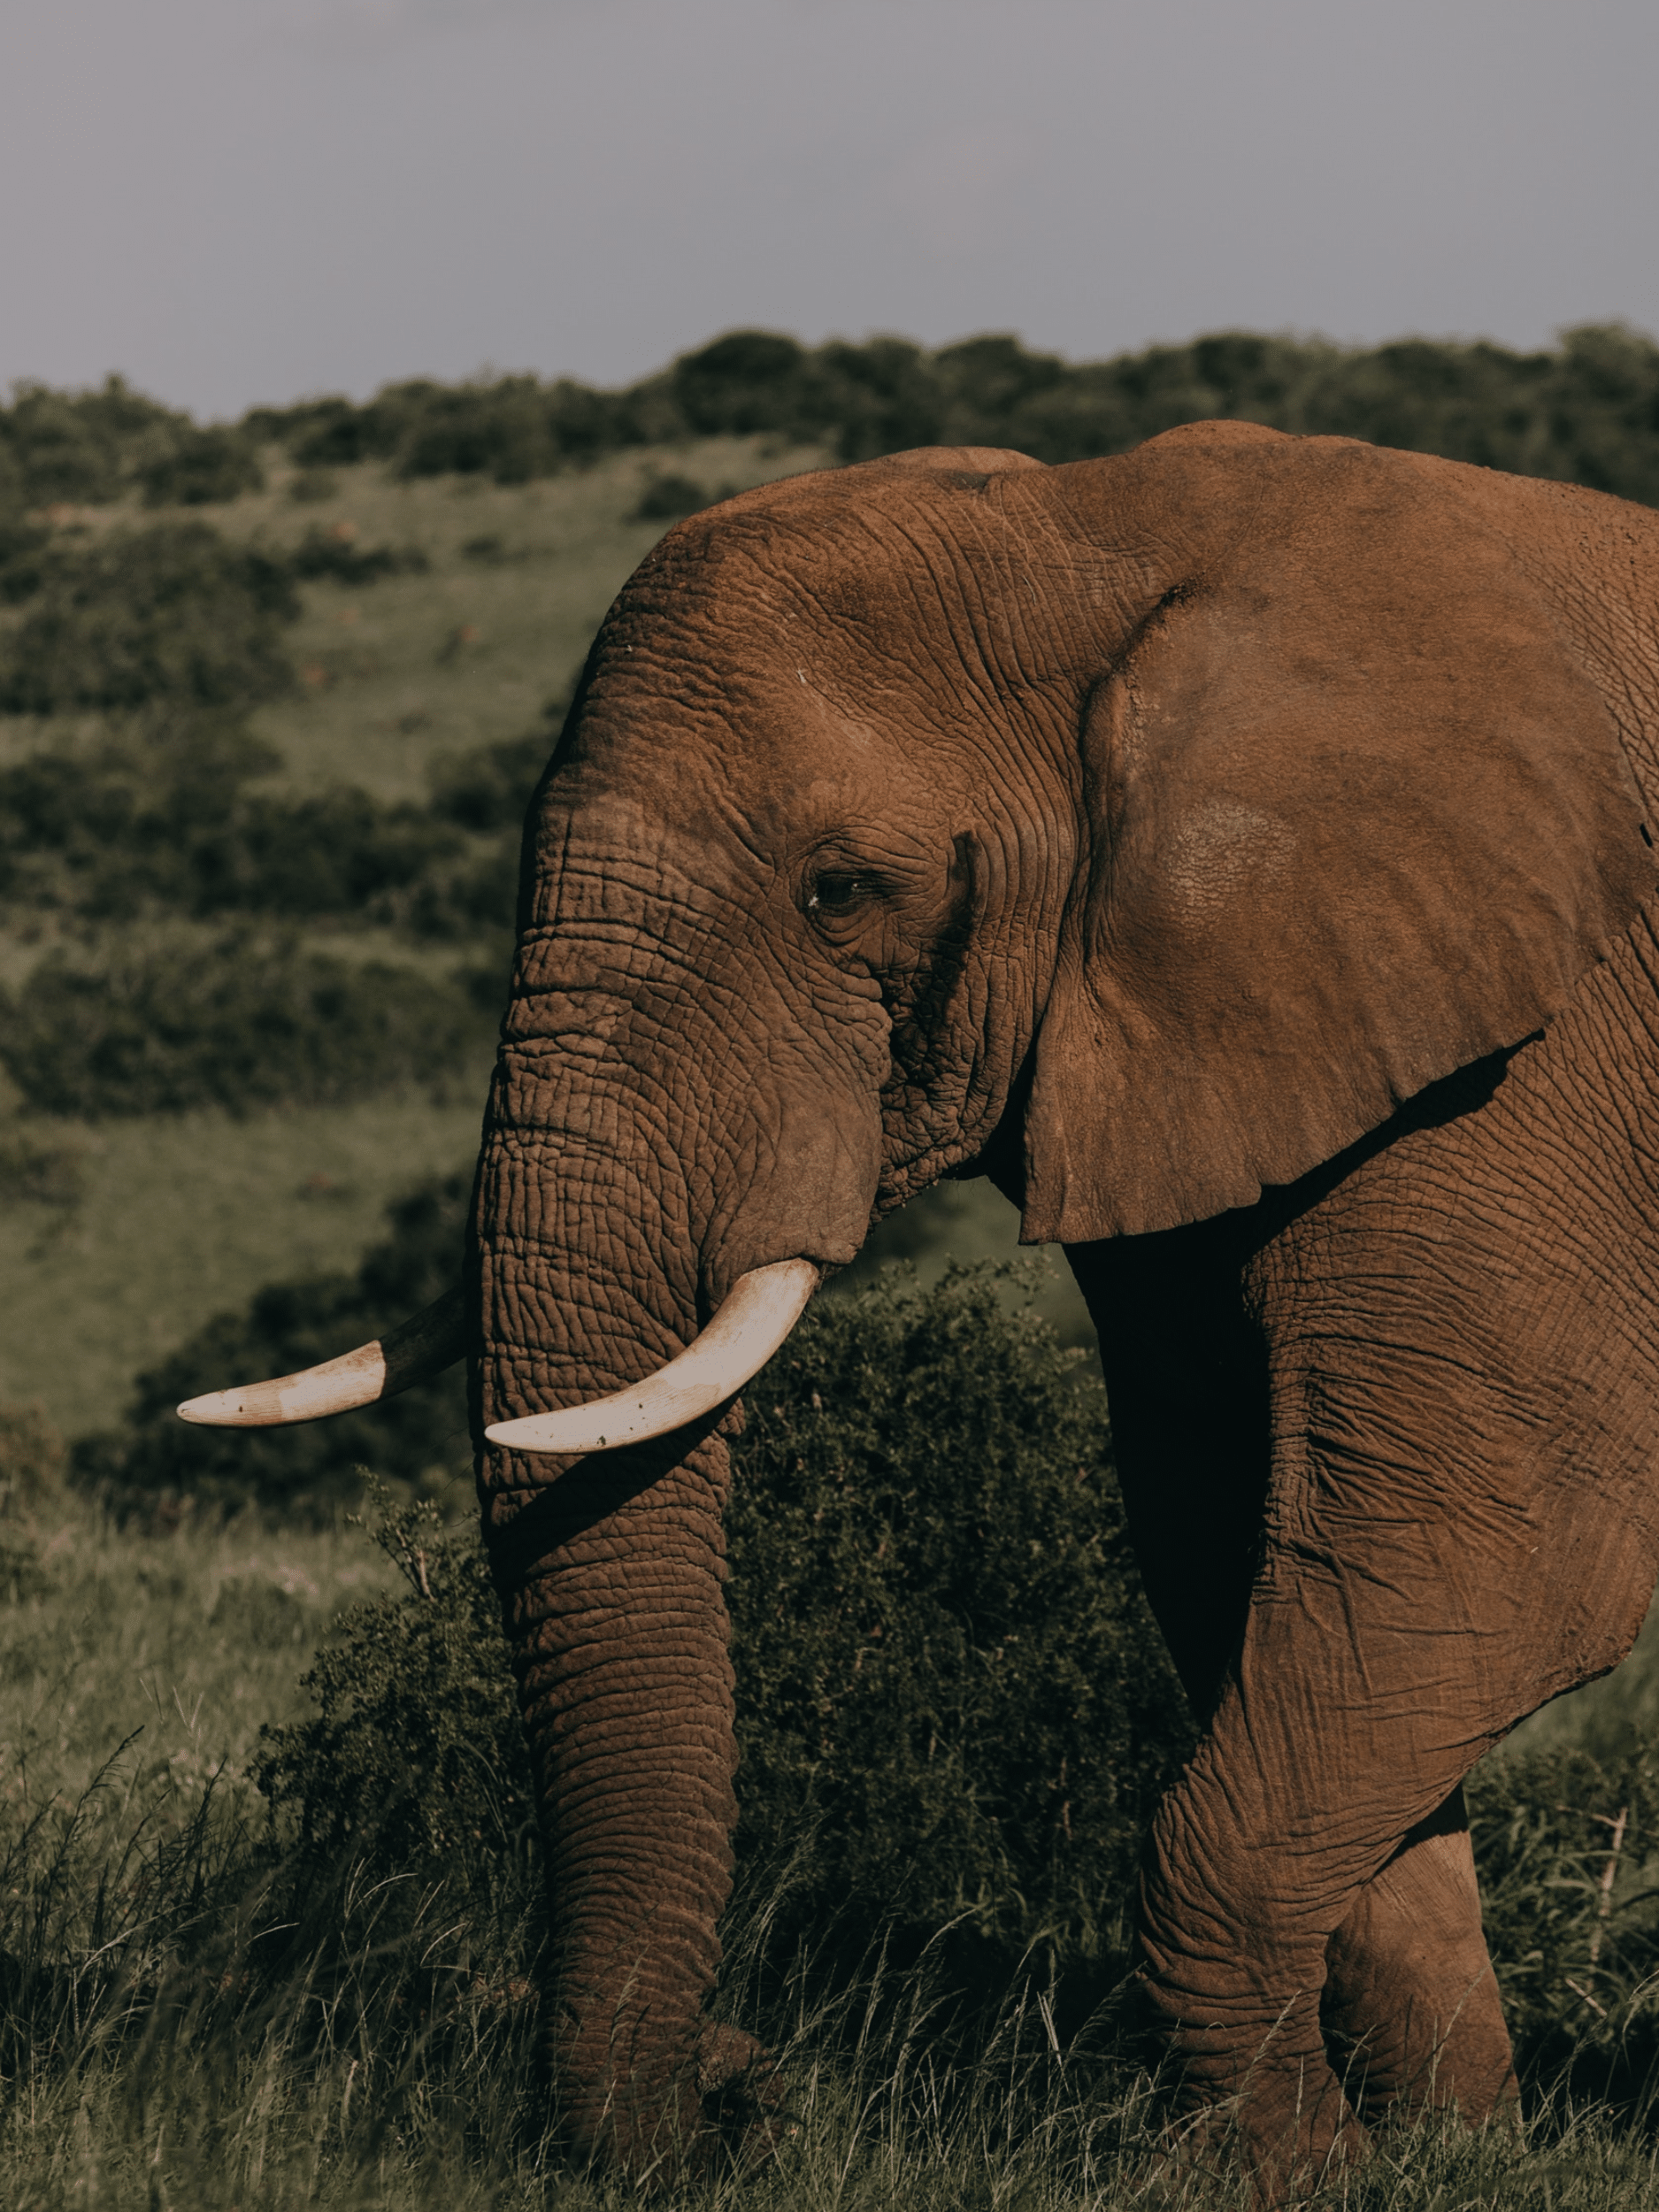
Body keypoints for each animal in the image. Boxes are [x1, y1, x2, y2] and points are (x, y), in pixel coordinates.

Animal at [180, 419, 1659, 2191]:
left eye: (839, 891)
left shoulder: (1527, 1061)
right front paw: (1448, 2161)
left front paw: (1298, 2181)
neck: (1096, 533)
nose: (739, 2096)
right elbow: (1254, 1554)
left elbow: (1503, 1565)